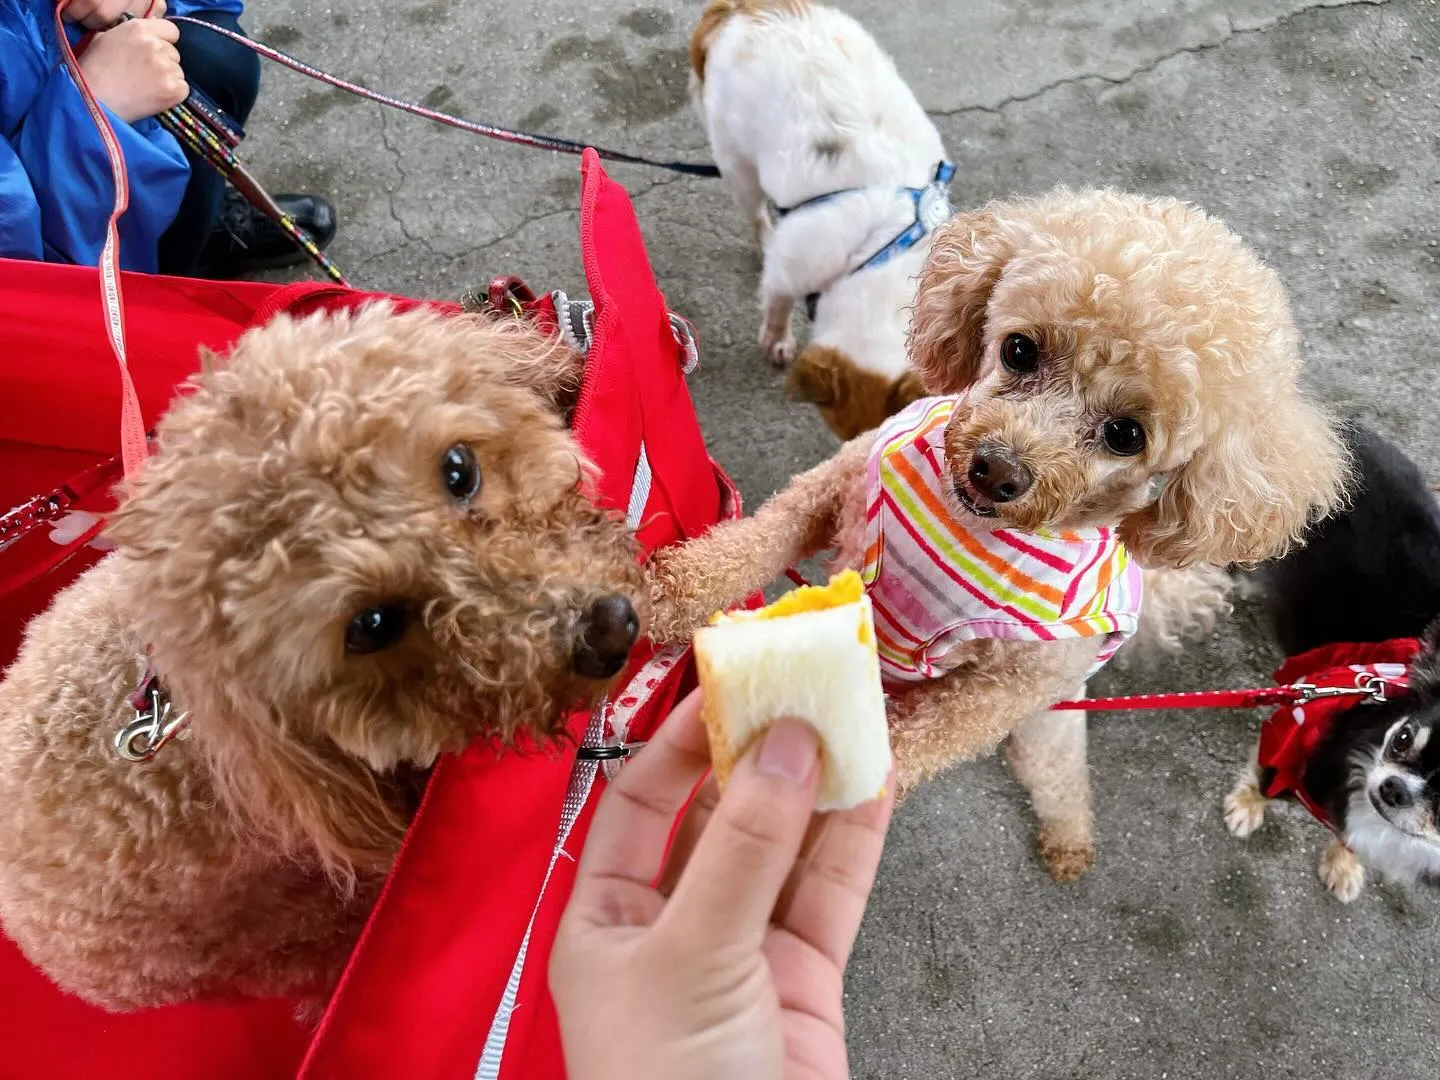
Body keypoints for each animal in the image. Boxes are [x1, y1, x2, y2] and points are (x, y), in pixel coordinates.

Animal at [691, 1, 938, 440]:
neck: (875, 258)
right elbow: (776, 307)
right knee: (757, 212)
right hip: (737, 165)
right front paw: (776, 344)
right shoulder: (789, 271)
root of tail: (741, 10)